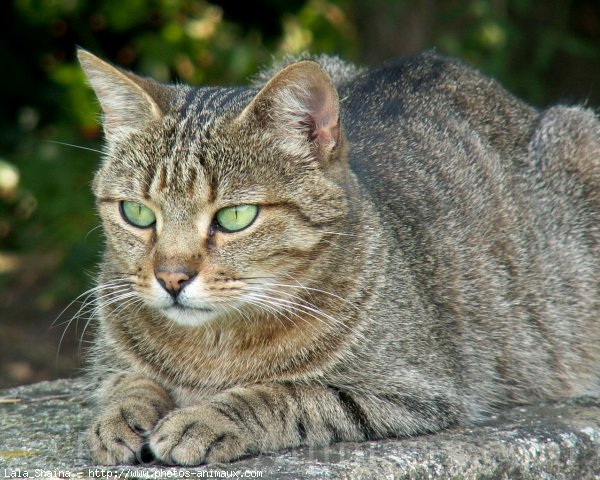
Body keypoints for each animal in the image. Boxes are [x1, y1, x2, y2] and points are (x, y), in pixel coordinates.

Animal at [77, 47, 600, 464]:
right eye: (136, 213)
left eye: (235, 217)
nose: (171, 277)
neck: (212, 349)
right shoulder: (109, 364)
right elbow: (126, 384)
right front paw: (120, 418)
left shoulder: (411, 392)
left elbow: (286, 396)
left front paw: (204, 419)